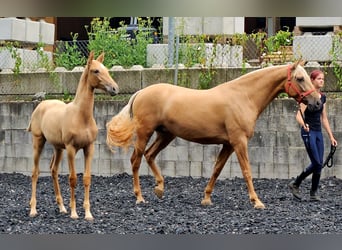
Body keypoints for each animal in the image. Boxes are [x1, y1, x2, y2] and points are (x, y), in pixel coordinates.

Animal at [26, 51, 118, 220]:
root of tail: (41, 105)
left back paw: (62, 207)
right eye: (96, 71)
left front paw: (88, 214)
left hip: (58, 148)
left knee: (53, 170)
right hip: (39, 142)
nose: (114, 89)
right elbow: (73, 178)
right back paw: (33, 209)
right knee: (35, 173)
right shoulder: (70, 149)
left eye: (106, 69)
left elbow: (87, 178)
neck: (81, 116)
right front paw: (74, 213)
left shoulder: (89, 148)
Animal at [106, 61, 320, 209]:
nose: (317, 101)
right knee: (136, 160)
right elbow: (247, 171)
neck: (243, 96)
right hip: (145, 133)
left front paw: (206, 198)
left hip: (166, 135)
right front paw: (257, 201)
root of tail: (140, 92)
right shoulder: (239, 142)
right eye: (300, 78)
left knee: (149, 155)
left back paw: (159, 189)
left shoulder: (228, 144)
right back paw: (140, 197)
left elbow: (217, 170)